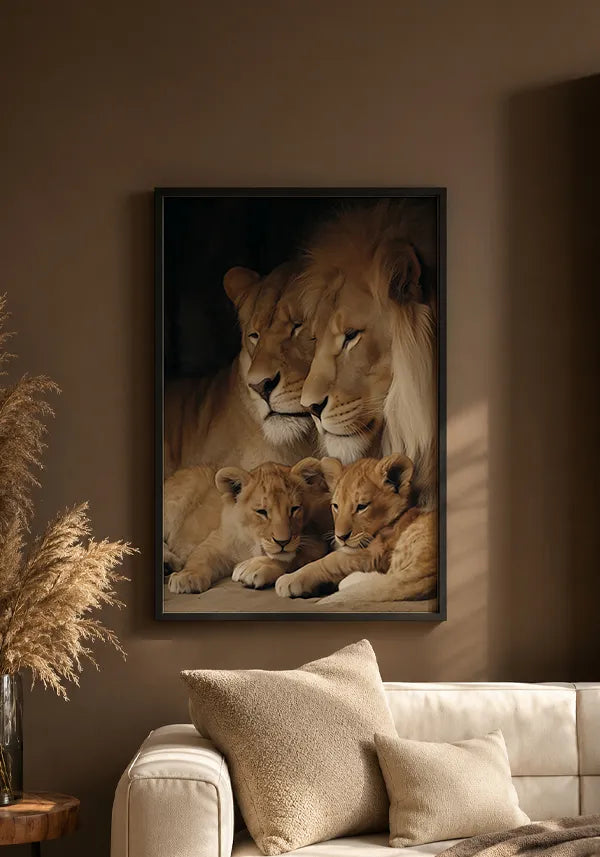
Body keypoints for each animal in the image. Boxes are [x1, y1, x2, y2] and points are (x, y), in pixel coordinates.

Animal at [167, 459, 332, 595]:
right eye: (262, 512)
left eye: (294, 509)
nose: (283, 542)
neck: (251, 544)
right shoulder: (216, 540)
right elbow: (200, 557)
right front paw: (187, 577)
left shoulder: (316, 541)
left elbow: (291, 557)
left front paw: (253, 567)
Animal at [275, 454, 437, 604]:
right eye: (336, 506)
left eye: (362, 507)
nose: (341, 537)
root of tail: (428, 571)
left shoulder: (372, 553)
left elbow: (329, 561)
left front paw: (289, 579)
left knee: (394, 580)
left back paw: (346, 581)